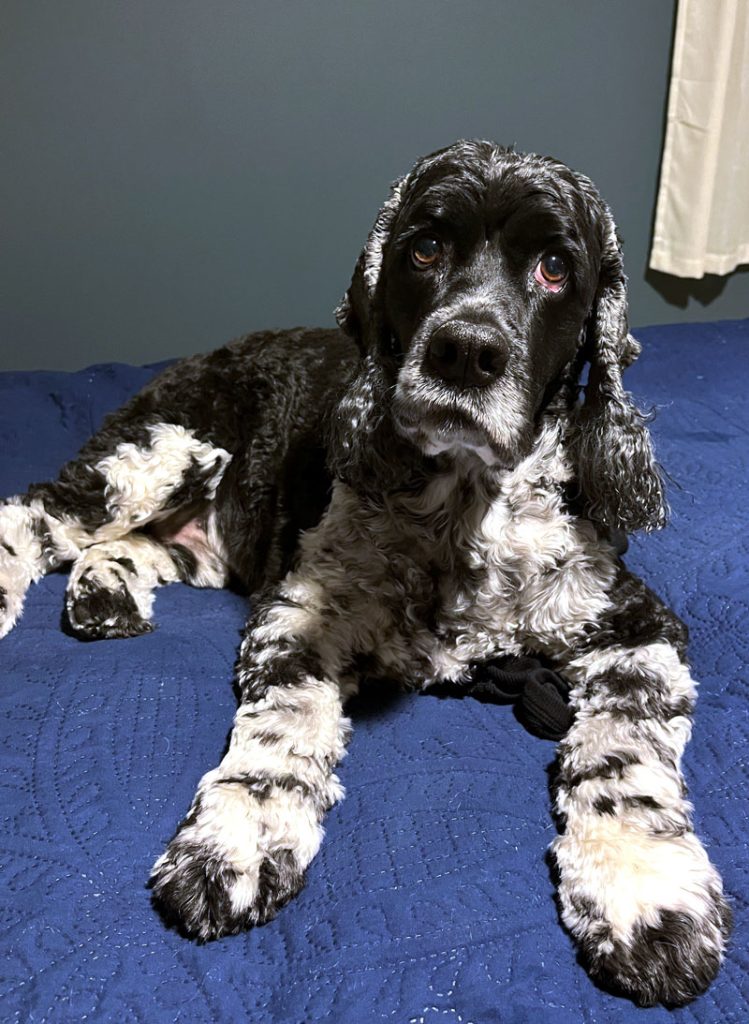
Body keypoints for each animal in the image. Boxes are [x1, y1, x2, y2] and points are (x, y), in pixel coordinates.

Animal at [0, 142, 733, 1007]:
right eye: (424, 248)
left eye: (555, 267)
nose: (465, 351)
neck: (465, 511)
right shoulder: (296, 615)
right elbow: (281, 731)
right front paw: (235, 841)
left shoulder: (638, 628)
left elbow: (624, 754)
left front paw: (647, 892)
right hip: (157, 450)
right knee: (37, 514)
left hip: (199, 536)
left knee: (122, 545)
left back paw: (104, 595)